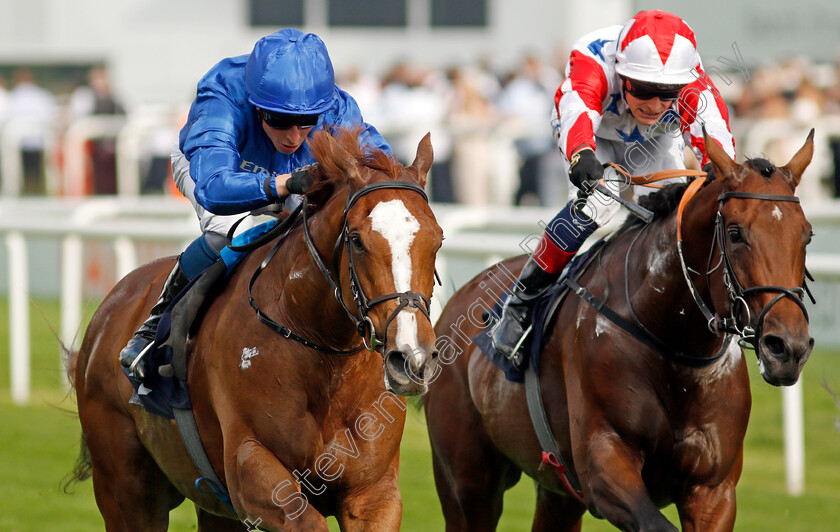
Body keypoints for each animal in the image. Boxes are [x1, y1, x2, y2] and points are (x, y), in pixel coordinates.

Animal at [70, 129, 446, 532]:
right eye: (358, 240)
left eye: (438, 240)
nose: (412, 358)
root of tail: (110, 306)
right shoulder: (251, 471)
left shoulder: (374, 492)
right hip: (126, 487)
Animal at [426, 130, 812, 532]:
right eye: (735, 233)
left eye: (807, 235)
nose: (788, 348)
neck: (673, 344)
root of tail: (462, 296)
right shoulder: (604, 468)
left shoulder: (714, 490)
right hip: (467, 484)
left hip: (558, 491)